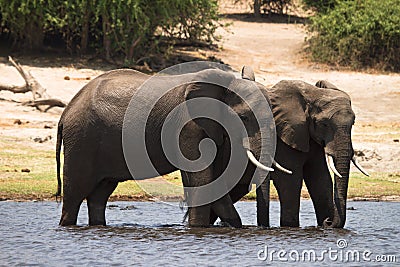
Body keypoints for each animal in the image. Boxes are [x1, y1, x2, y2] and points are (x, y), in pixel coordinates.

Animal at [54, 65, 284, 228]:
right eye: (244, 117)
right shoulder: (189, 125)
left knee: (99, 195)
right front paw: (198, 228)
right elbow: (203, 178)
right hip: (82, 138)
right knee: (75, 193)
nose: (263, 228)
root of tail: (66, 112)